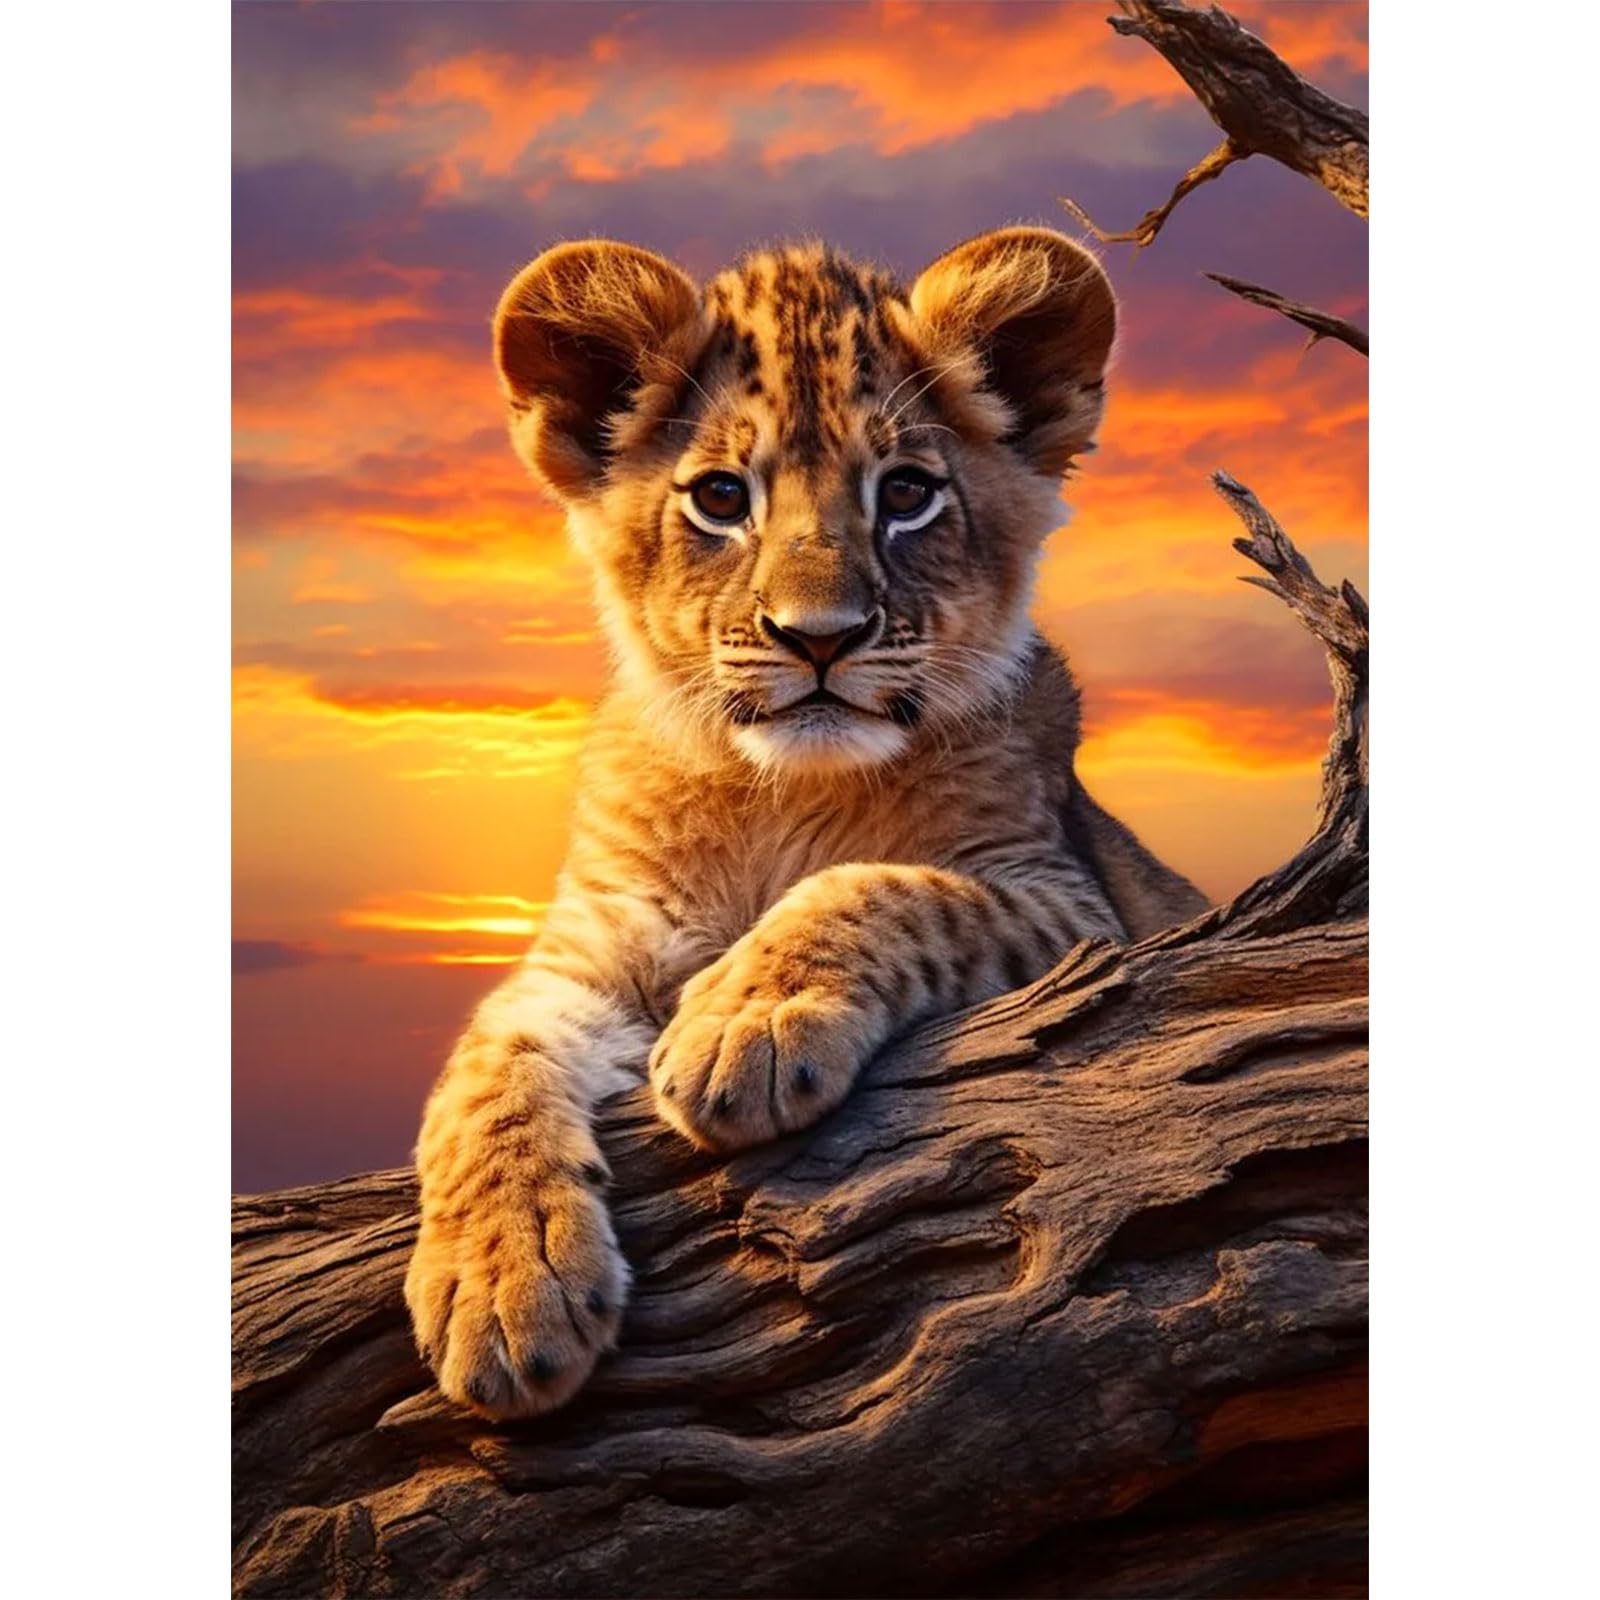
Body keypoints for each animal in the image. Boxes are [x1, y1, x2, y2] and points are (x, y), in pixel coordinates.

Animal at [404, 226, 1207, 1419]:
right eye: (720, 497)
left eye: (908, 492)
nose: (816, 636)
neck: (774, 796)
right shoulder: (592, 948)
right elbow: (486, 1066)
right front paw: (504, 1288)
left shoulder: (1080, 913)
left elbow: (882, 888)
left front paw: (749, 1025)